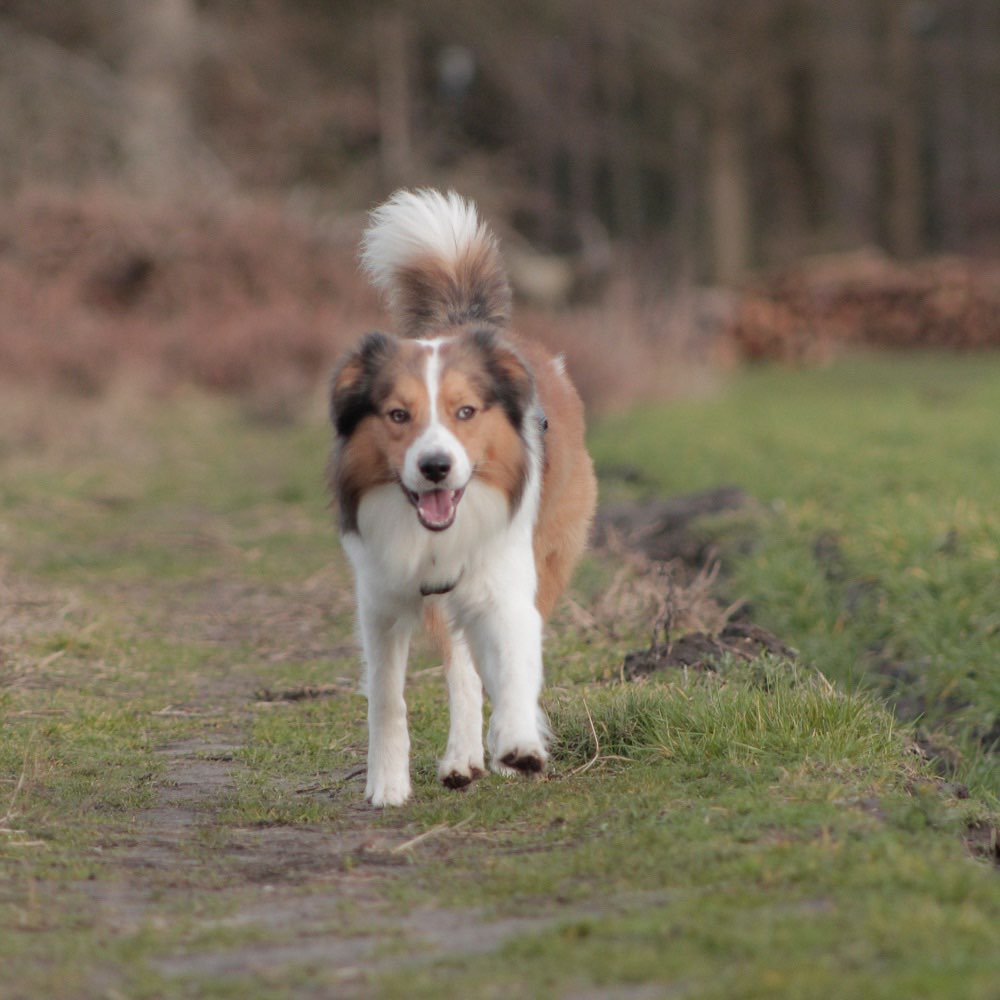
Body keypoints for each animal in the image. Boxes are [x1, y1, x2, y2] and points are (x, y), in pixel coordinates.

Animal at [330, 191, 592, 808]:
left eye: (465, 412)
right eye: (398, 415)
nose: (435, 467)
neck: (434, 538)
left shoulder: (505, 583)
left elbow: (515, 665)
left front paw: (518, 742)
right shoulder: (381, 601)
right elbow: (388, 699)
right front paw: (387, 782)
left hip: (549, 556)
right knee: (463, 669)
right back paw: (462, 756)